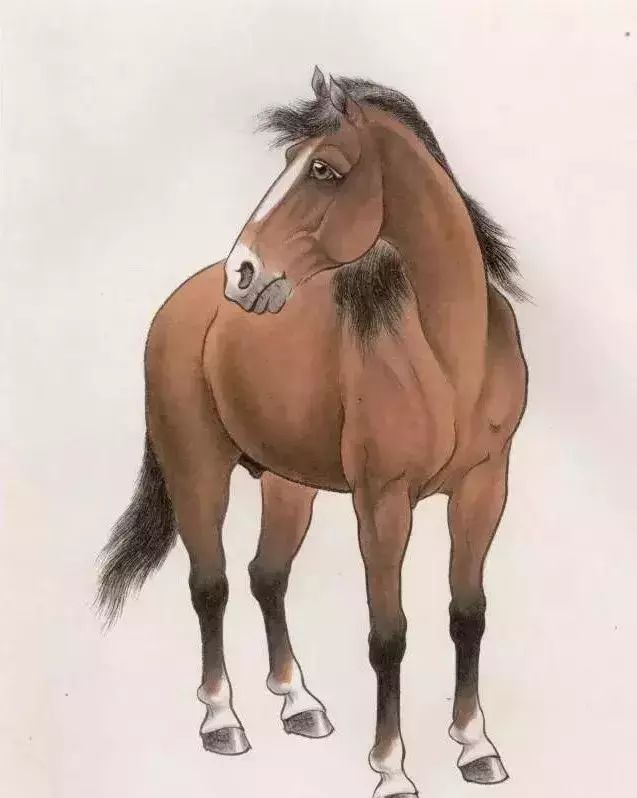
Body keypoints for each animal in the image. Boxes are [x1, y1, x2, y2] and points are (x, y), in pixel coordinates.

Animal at [97, 68, 528, 798]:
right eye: (288, 161)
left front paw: (475, 747)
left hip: (286, 484)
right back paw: (222, 720)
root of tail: (184, 304)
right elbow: (388, 635)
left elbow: (467, 615)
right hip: (197, 471)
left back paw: (298, 704)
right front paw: (391, 769)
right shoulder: (382, 503)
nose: (243, 272)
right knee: (210, 585)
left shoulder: (483, 487)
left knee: (266, 576)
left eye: (323, 169)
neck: (450, 360)